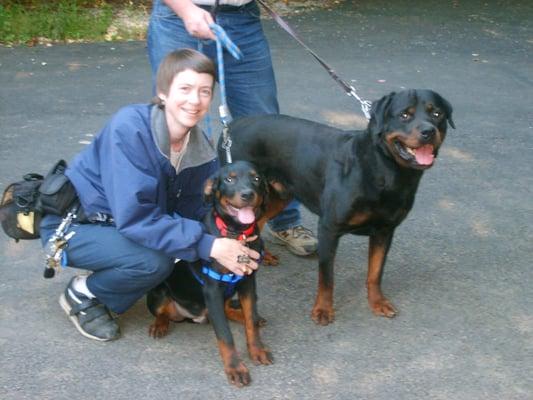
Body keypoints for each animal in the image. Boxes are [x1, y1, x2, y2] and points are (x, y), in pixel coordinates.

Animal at [145, 160, 270, 388]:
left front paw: (256, 350)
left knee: (228, 311)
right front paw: (235, 369)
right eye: (229, 179)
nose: (248, 194)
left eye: (256, 178)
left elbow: (250, 323)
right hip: (160, 294)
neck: (237, 233)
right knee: (163, 313)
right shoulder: (212, 290)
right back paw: (160, 325)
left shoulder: (248, 282)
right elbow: (225, 335)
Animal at [218, 88, 456, 324]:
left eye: (437, 114)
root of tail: (231, 126)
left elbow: (375, 272)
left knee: (259, 222)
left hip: (279, 195)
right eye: (405, 115)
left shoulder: (384, 231)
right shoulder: (329, 228)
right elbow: (327, 277)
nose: (428, 131)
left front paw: (377, 302)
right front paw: (323, 309)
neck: (383, 169)